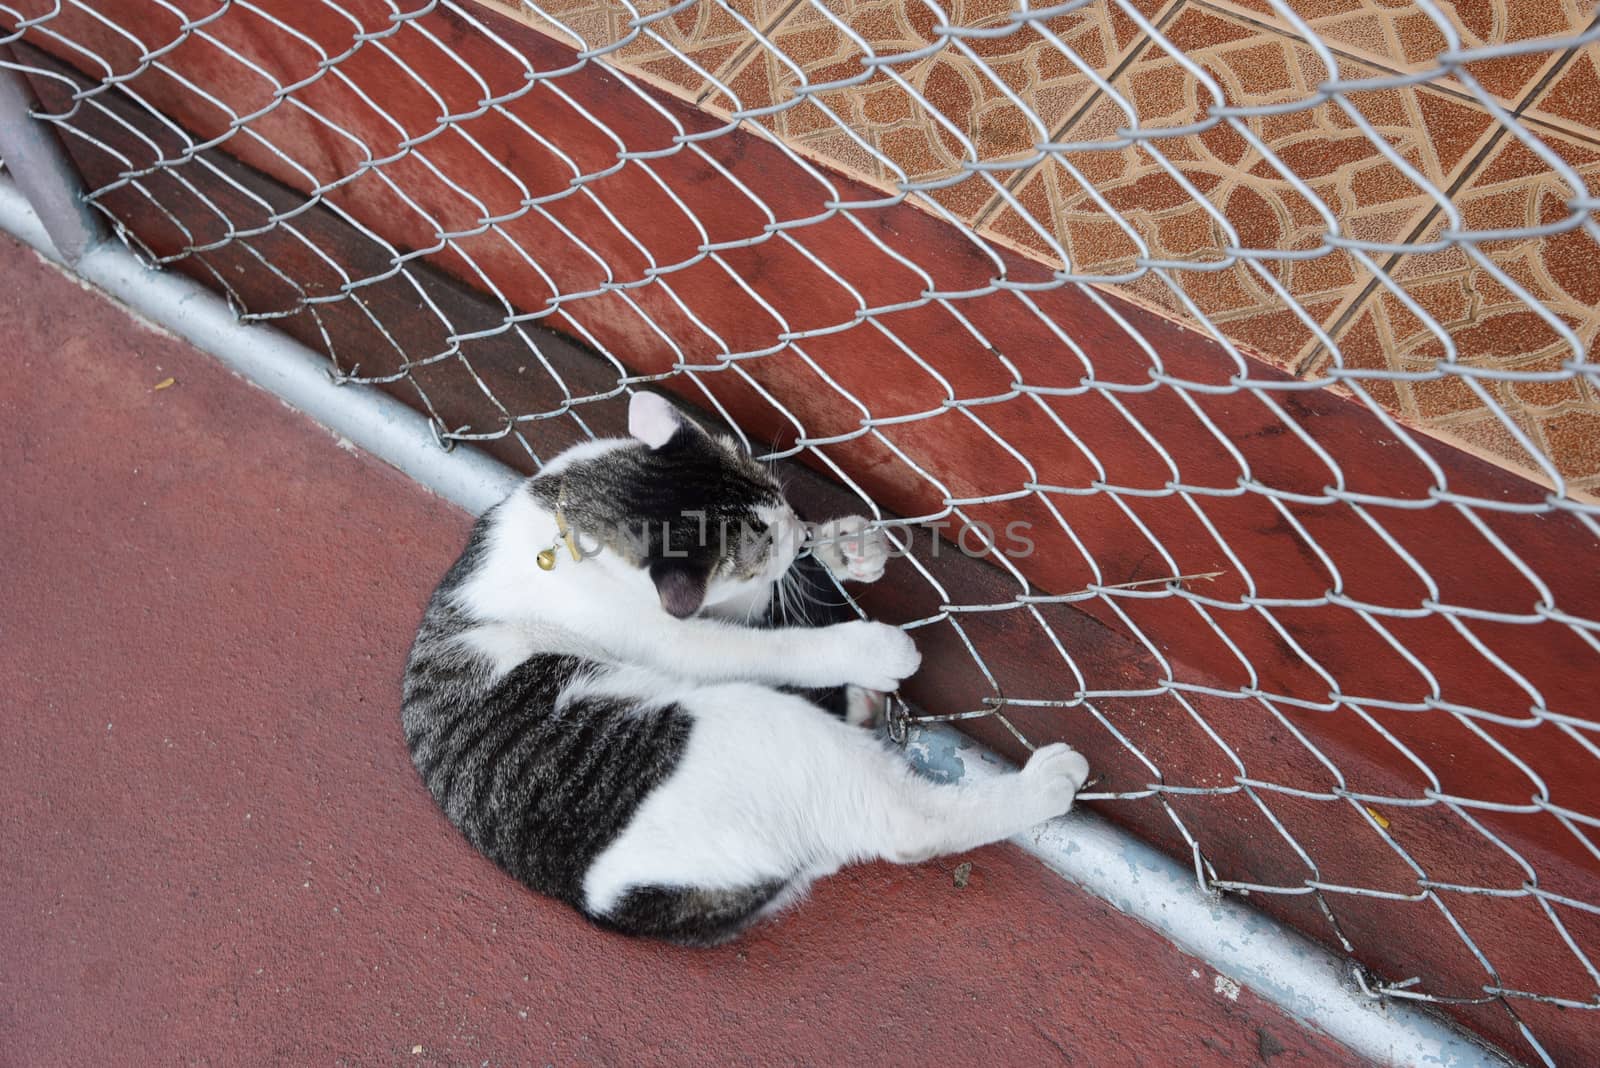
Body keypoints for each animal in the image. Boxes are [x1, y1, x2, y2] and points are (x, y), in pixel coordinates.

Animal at [406, 391, 1094, 940]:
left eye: (779, 496)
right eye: (760, 544)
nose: (801, 530)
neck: (572, 514)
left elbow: (765, 598)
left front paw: (841, 546)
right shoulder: (672, 634)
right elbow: (768, 640)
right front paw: (868, 645)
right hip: (767, 734)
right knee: (912, 824)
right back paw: (1046, 782)